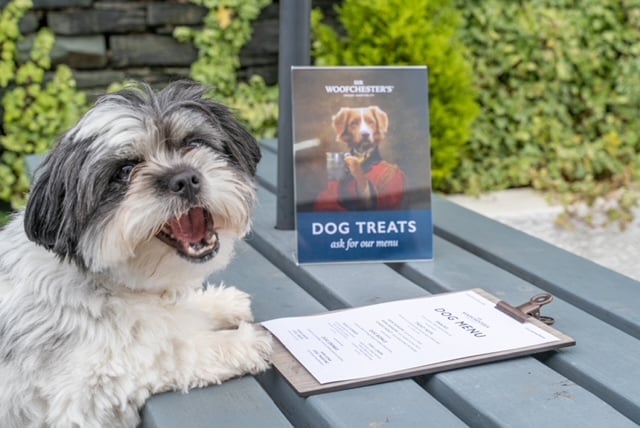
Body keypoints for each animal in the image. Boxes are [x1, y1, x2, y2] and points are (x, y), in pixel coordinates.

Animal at [0, 81, 272, 428]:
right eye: (125, 171)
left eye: (194, 143)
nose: (184, 178)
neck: (110, 283)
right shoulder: (82, 398)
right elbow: (169, 352)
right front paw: (240, 342)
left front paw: (219, 303)